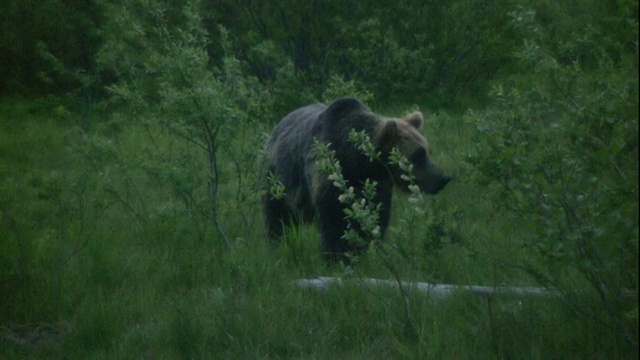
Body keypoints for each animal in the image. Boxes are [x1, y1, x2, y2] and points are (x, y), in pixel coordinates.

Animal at [260, 97, 450, 262]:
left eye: (428, 151)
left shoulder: (376, 185)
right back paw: (275, 244)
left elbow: (377, 216)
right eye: (418, 154)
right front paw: (338, 257)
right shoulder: (330, 172)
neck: (359, 161)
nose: (443, 178)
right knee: (277, 217)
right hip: (277, 179)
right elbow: (335, 220)